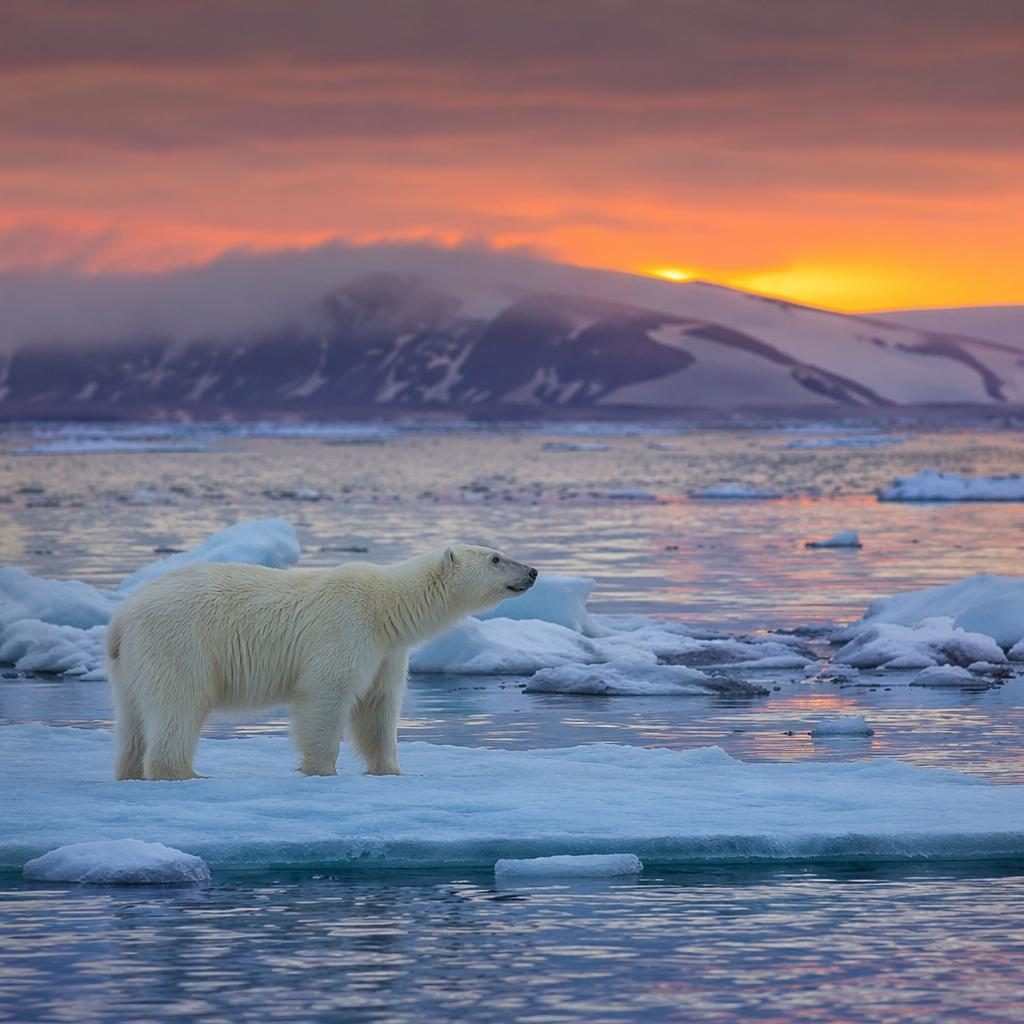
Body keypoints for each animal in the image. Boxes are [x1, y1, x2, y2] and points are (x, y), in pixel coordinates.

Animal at [106, 544, 537, 781]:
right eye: (496, 558)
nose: (533, 570)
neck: (386, 606)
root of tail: (121, 618)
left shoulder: (387, 651)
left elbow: (378, 708)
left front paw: (392, 770)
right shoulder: (345, 628)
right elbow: (327, 697)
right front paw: (322, 770)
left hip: (130, 665)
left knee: (133, 719)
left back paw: (130, 771)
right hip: (179, 641)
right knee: (179, 703)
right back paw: (183, 772)